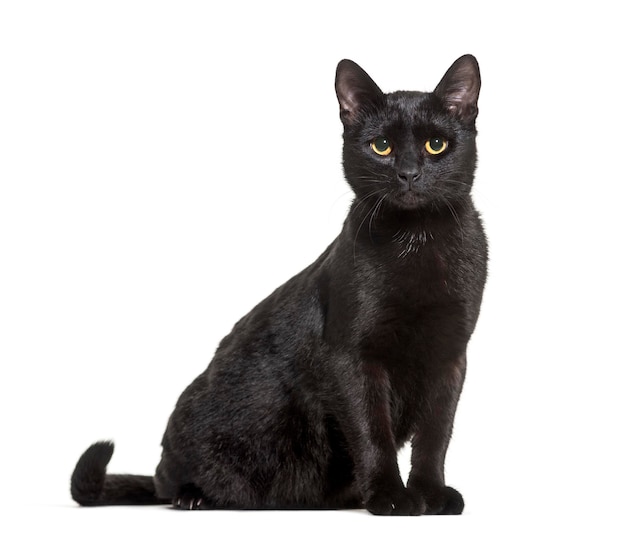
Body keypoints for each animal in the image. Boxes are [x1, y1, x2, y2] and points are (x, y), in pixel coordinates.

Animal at [70, 55, 486, 520]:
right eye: (381, 146)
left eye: (436, 145)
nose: (408, 173)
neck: (417, 241)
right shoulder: (353, 358)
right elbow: (371, 432)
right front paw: (390, 497)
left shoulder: (450, 356)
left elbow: (435, 435)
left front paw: (432, 494)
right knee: (168, 477)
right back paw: (193, 495)